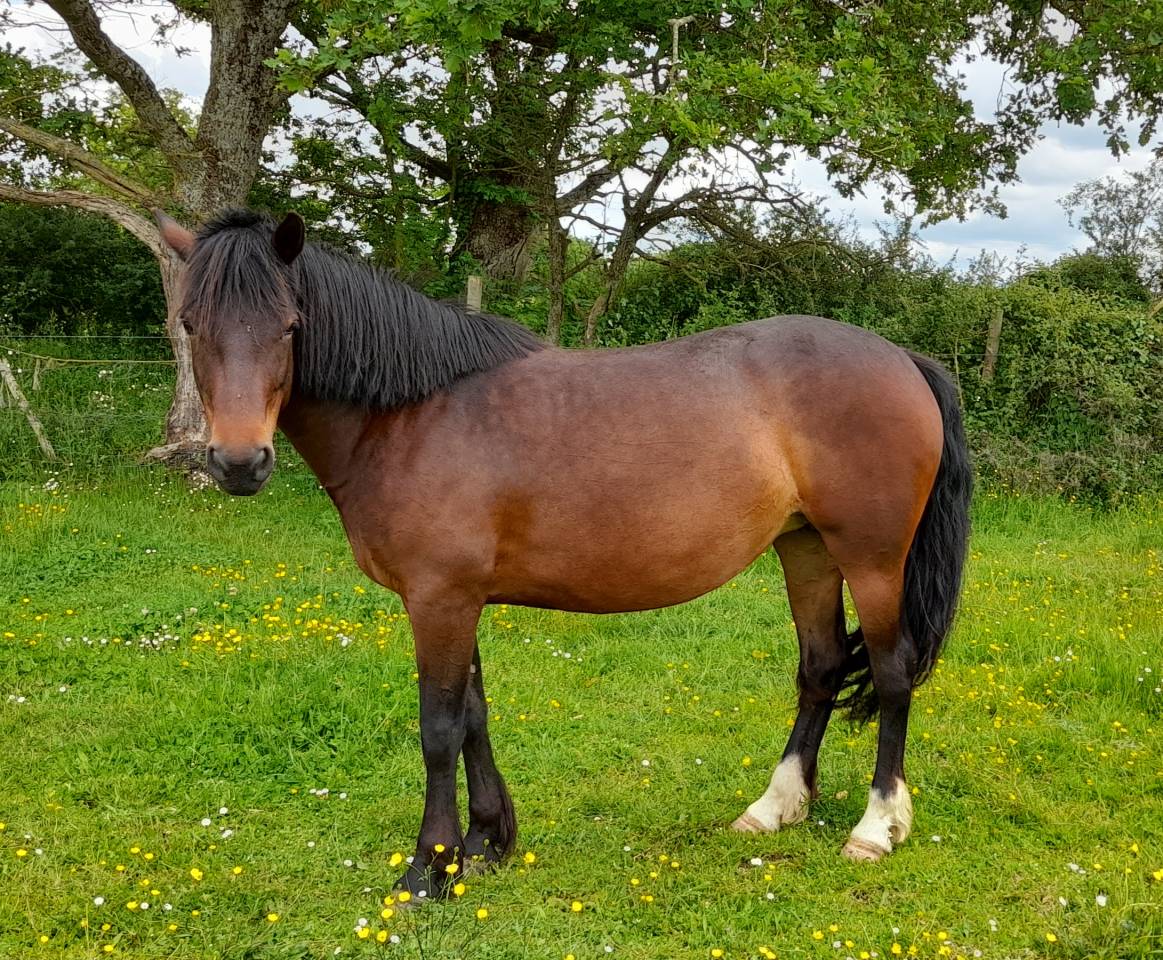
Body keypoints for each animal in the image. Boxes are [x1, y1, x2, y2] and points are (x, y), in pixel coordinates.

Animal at [157, 208, 971, 897]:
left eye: (290, 325)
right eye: (190, 323)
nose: (238, 462)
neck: (413, 414)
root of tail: (901, 359)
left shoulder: (438, 598)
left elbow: (438, 730)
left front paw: (429, 868)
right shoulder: (457, 598)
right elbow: (474, 716)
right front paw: (486, 845)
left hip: (871, 558)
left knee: (892, 674)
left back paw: (875, 826)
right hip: (805, 549)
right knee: (821, 667)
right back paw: (773, 807)